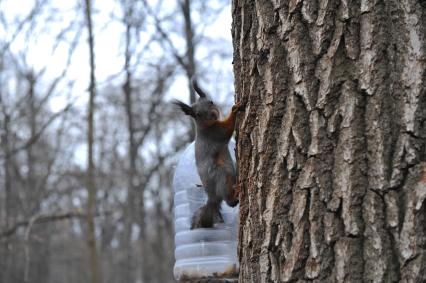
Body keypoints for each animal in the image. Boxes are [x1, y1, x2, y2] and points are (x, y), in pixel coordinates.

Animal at [171, 79, 241, 230]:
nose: (214, 114)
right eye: (197, 114)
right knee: (228, 200)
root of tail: (212, 198)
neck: (208, 126)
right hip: (221, 174)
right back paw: (235, 194)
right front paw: (234, 110)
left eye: (211, 102)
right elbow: (227, 128)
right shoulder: (216, 133)